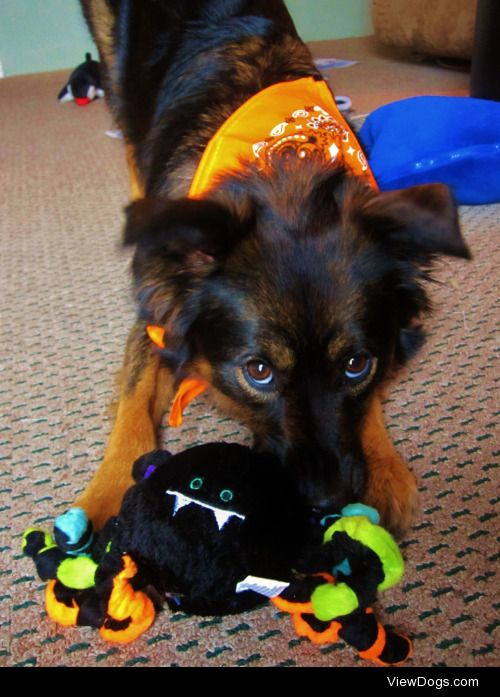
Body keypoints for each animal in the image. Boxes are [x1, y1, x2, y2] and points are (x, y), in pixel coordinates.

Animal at [76, 1, 470, 532]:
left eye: (357, 364)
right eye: (258, 371)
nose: (327, 503)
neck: (287, 170)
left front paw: (385, 466)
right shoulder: (157, 312)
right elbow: (134, 404)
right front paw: (104, 497)